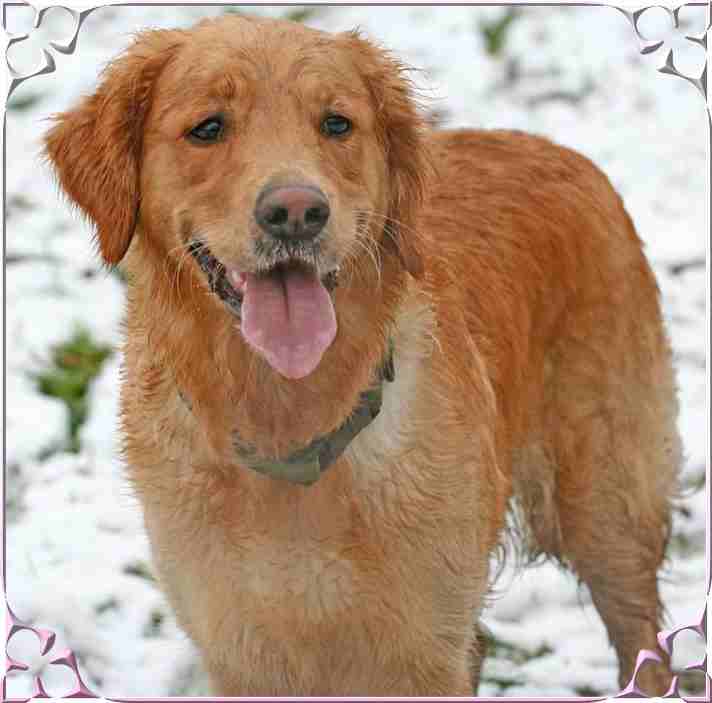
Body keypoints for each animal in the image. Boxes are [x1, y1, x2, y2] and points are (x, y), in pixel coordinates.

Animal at [44, 14, 681, 696]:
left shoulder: (425, 650)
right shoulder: (241, 651)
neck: (289, 426)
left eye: (336, 124)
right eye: (208, 128)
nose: (297, 213)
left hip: (605, 501)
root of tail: (563, 151)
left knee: (641, 638)